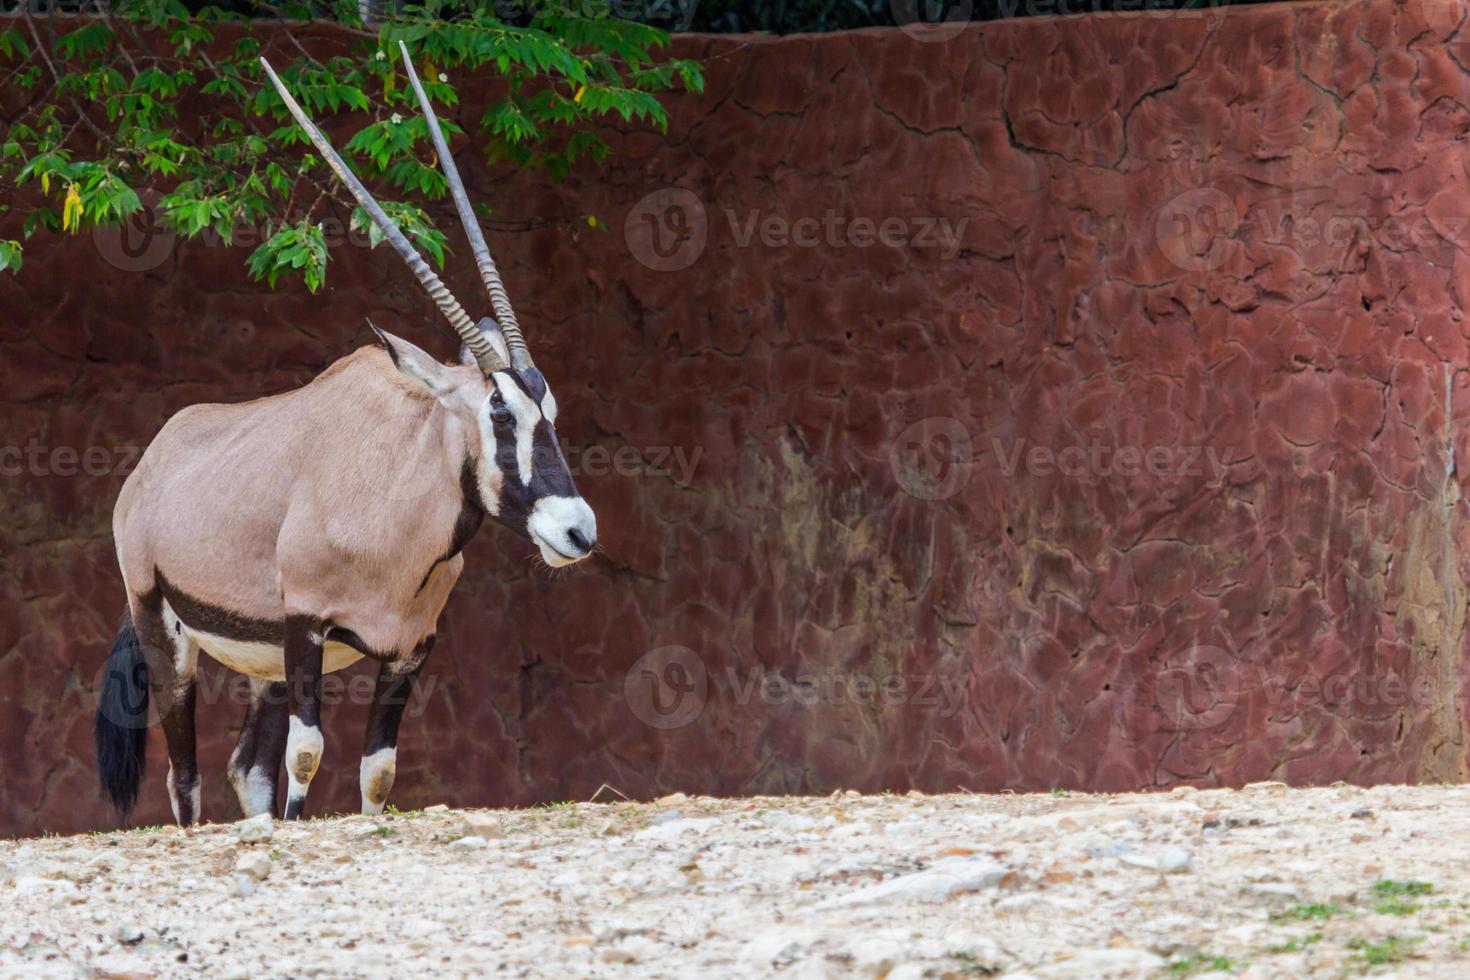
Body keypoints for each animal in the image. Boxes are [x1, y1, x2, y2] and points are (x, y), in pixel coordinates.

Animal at [96, 47, 596, 828]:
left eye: (550, 408)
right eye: (499, 411)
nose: (578, 531)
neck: (393, 495)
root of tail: (150, 466)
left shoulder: (410, 648)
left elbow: (377, 771)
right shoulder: (306, 629)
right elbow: (307, 755)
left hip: (261, 664)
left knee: (246, 768)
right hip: (167, 635)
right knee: (186, 778)